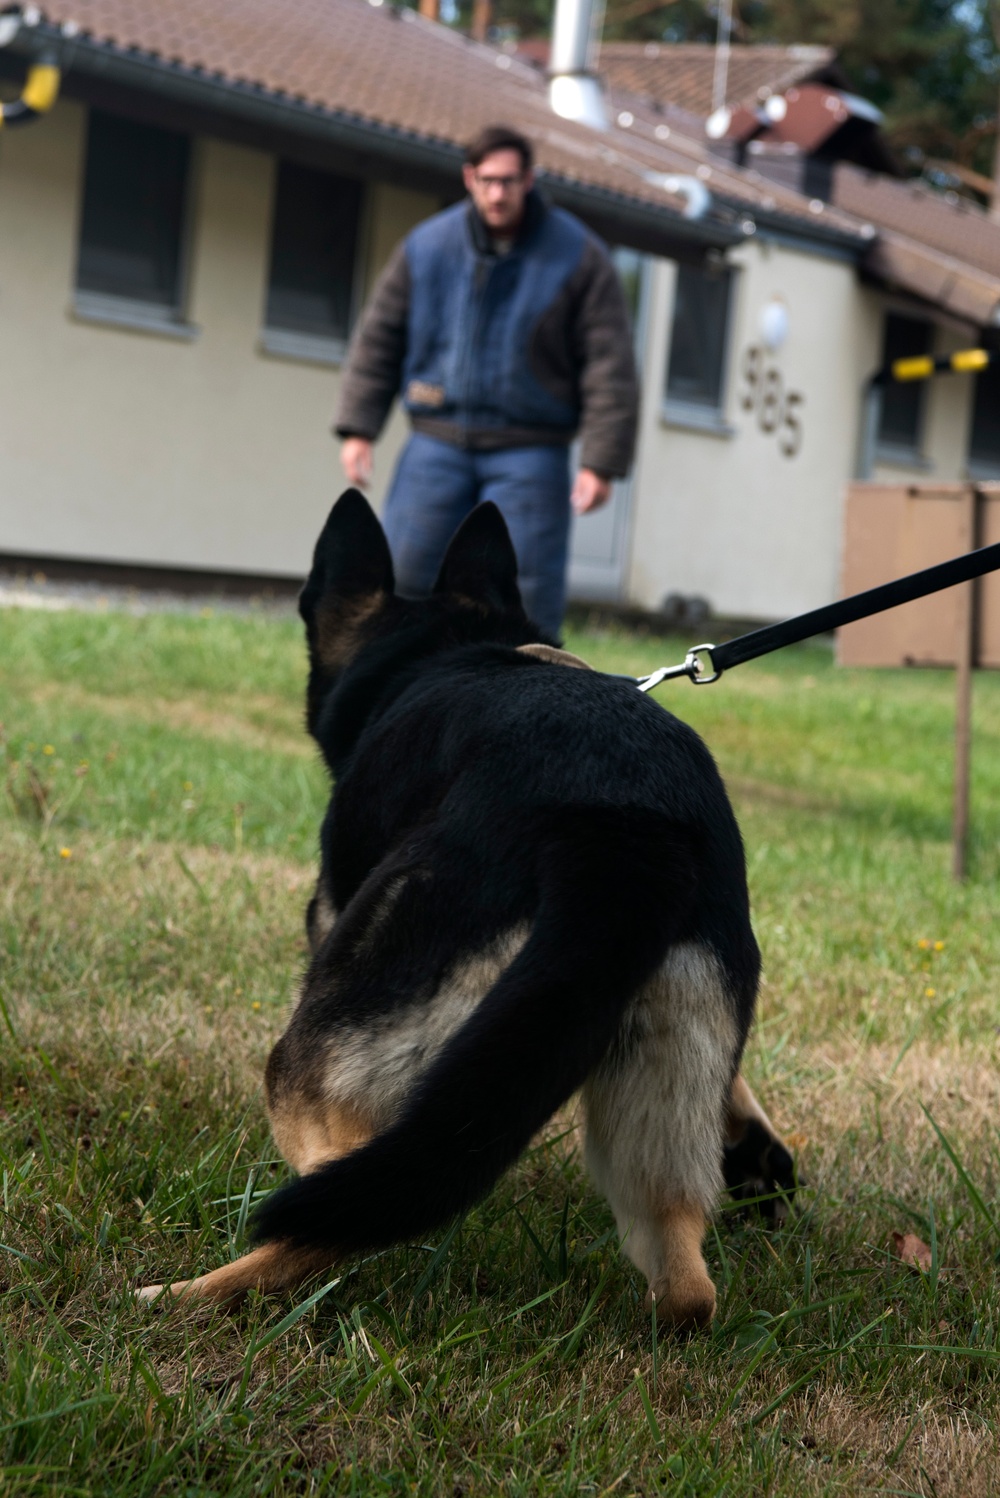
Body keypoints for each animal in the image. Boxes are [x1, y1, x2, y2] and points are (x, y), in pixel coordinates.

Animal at [140, 488, 790, 1324]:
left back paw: (189, 1294)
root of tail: (624, 829)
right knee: (686, 1287)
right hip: (655, 1092)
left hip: (329, 1051)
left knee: (342, 1200)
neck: (455, 645)